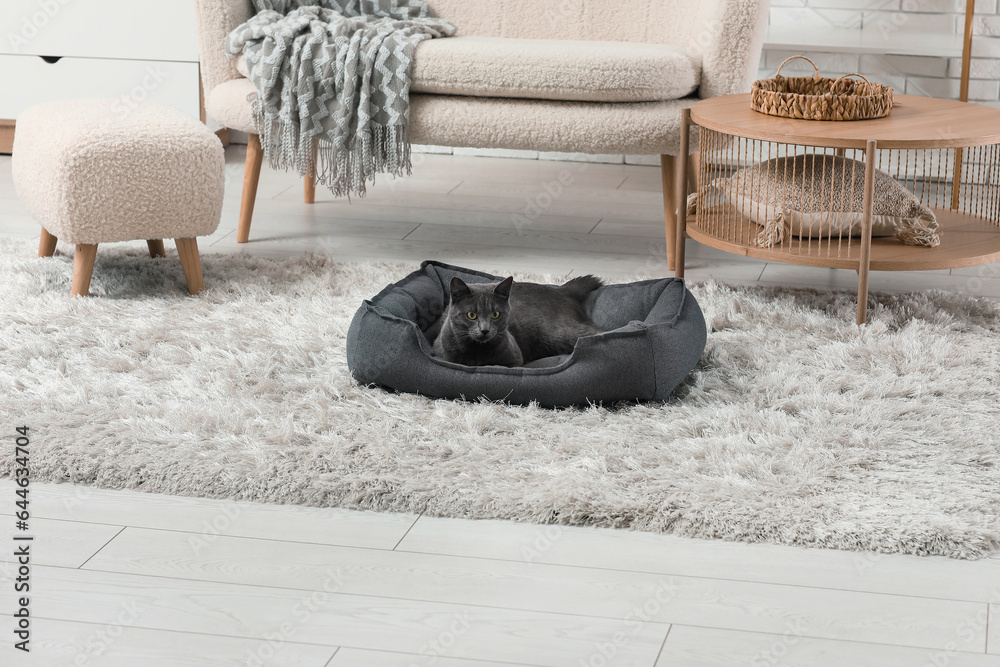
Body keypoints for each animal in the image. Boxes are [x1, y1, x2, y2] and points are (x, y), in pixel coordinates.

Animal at [430, 272, 600, 366]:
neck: (476, 351)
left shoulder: (514, 361)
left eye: (495, 314)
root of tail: (561, 289)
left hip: (557, 334)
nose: (485, 330)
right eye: (471, 315)